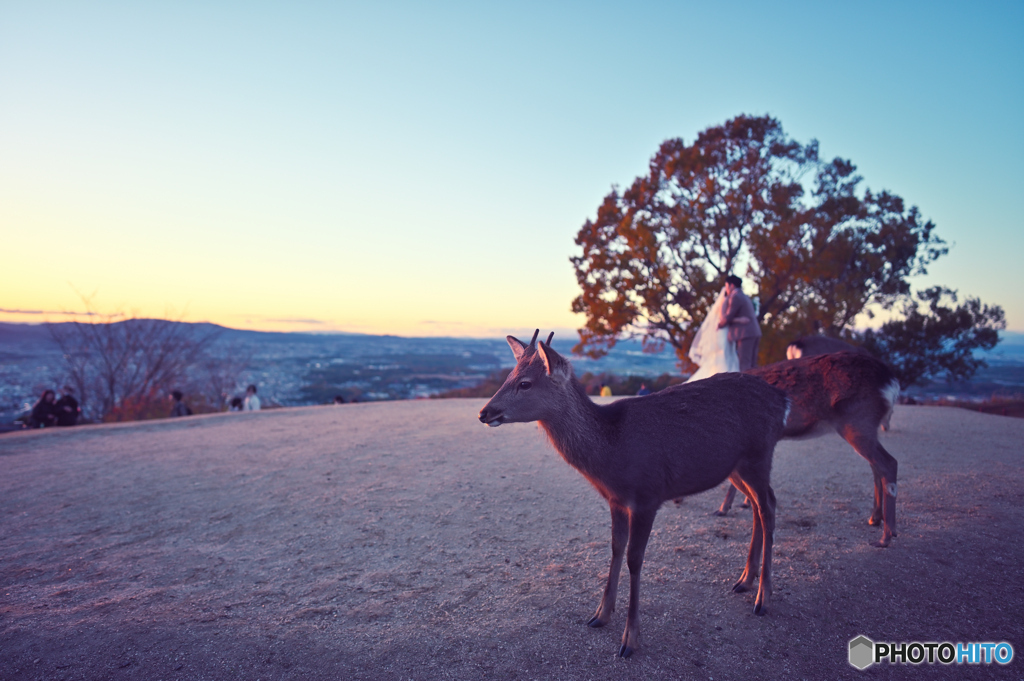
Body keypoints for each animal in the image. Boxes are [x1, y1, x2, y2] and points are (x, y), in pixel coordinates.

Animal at [475, 331, 786, 655]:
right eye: (509, 375)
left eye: (525, 383)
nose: (484, 412)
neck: (613, 453)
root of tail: (782, 399)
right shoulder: (616, 499)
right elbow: (615, 548)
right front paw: (600, 615)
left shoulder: (648, 495)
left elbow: (635, 559)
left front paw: (630, 639)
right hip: (736, 467)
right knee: (759, 505)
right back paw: (745, 580)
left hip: (759, 454)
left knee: (769, 506)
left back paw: (763, 598)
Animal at [712, 350, 897, 548]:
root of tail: (890, 381)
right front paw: (742, 503)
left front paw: (723, 509)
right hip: (864, 427)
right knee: (876, 466)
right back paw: (875, 519)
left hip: (857, 421)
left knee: (888, 462)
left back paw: (886, 536)